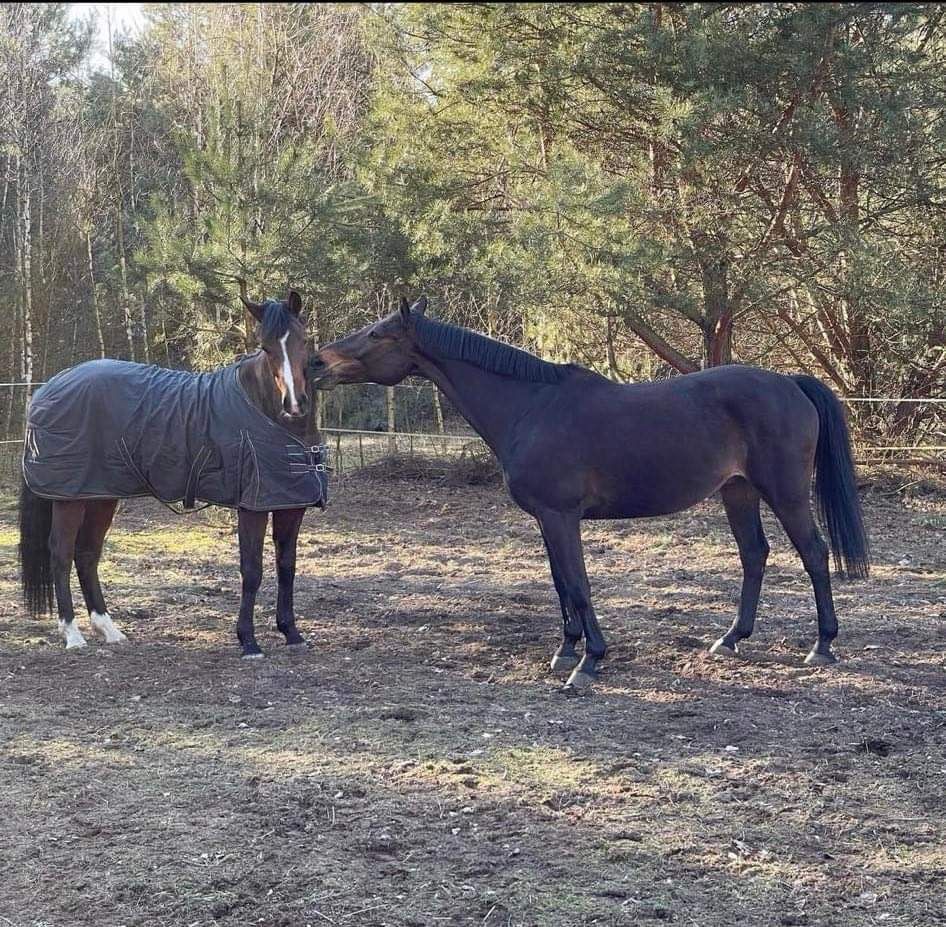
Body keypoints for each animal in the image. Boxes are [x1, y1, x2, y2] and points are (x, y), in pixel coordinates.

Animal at [18, 290, 326, 660]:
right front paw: (248, 641)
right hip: (70, 499)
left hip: (100, 495)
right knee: (62, 554)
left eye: (303, 340)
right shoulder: (252, 508)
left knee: (87, 553)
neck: (267, 413)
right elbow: (252, 571)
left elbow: (287, 567)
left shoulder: (290, 504)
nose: (294, 404)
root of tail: (47, 389)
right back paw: (73, 634)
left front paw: (291, 632)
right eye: (265, 347)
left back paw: (109, 629)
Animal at [308, 298, 864, 688]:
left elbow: (578, 583)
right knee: (754, 555)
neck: (531, 407)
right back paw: (730, 639)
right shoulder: (544, 518)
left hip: (784, 492)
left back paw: (822, 645)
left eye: (377, 334)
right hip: (738, 491)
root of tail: (789, 383)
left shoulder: (561, 515)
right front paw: (566, 651)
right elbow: (560, 584)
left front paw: (589, 661)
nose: (315, 363)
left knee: (814, 554)